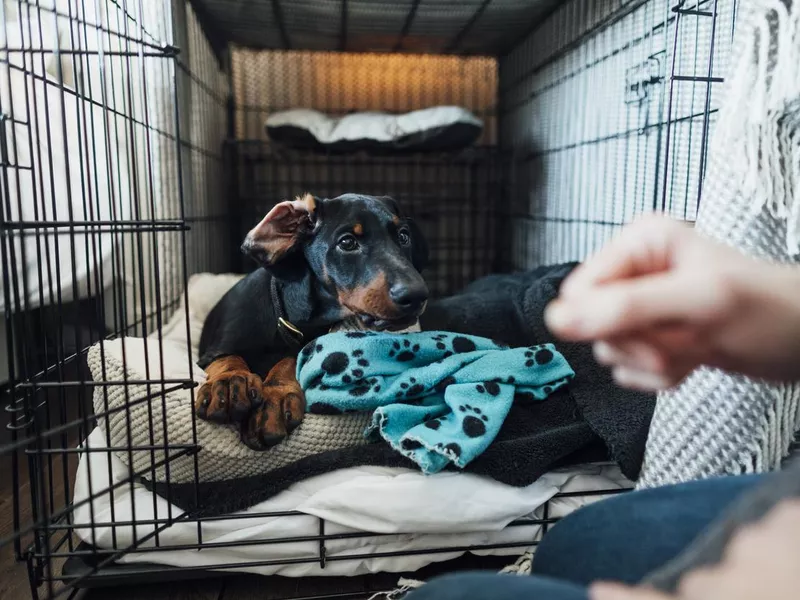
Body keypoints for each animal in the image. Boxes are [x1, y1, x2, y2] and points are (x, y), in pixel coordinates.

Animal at [195, 195, 428, 448]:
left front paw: (274, 399)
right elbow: (227, 358)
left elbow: (290, 360)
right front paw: (230, 382)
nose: (417, 295)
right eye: (347, 242)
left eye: (403, 236)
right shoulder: (210, 352)